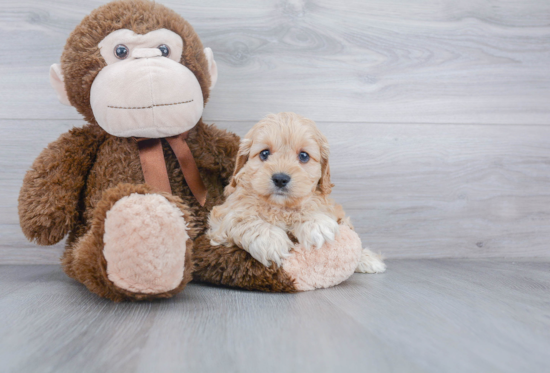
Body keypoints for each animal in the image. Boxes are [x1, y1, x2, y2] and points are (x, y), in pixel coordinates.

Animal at [208, 111, 388, 274]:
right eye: (264, 153)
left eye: (303, 156)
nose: (280, 179)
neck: (280, 206)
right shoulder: (220, 217)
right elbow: (241, 218)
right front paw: (271, 241)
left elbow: (310, 207)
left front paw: (316, 223)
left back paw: (367, 260)